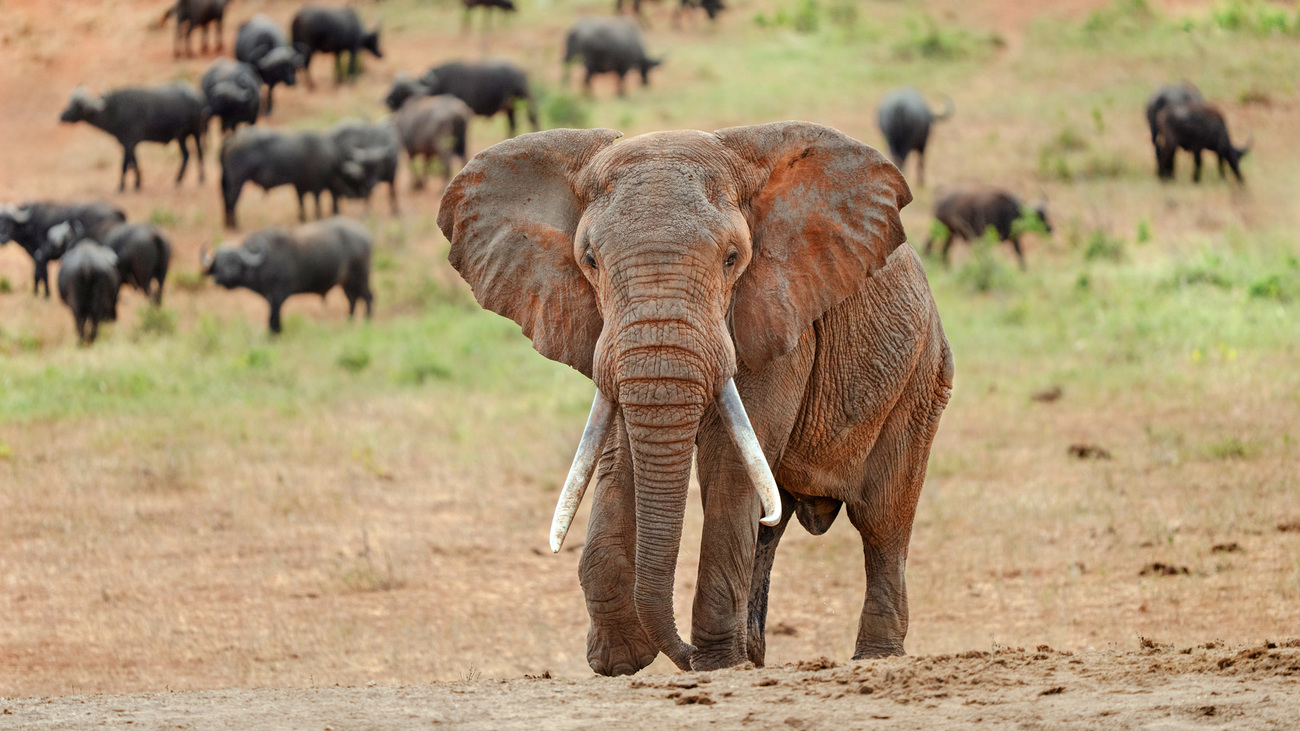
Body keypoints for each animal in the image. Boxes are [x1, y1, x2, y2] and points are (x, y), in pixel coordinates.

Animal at [60, 84, 207, 192]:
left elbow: (125, 165)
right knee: (186, 155)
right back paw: (178, 180)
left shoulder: (129, 143)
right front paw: (136, 184)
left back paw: (201, 179)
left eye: (76, 105)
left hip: (196, 133)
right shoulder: (128, 145)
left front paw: (122, 187)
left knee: (200, 153)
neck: (115, 110)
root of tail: (199, 98)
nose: (62, 116)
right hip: (181, 137)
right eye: (70, 103)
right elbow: (133, 163)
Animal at [202, 217, 374, 334]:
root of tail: (366, 235)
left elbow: (274, 318)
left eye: (234, 261)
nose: (222, 278)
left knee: (368, 297)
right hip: (346, 282)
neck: (263, 263)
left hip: (361, 278)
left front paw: (275, 333)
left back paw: (367, 321)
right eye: (218, 263)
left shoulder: (278, 295)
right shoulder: (270, 297)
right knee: (352, 299)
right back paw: (349, 322)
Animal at [438, 121, 954, 675]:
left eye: (732, 259)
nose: (680, 653)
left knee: (882, 522)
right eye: (589, 261)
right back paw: (755, 656)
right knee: (771, 528)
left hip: (922, 377)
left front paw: (714, 664)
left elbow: (729, 465)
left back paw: (872, 658)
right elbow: (622, 457)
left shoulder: (775, 316)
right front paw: (619, 660)